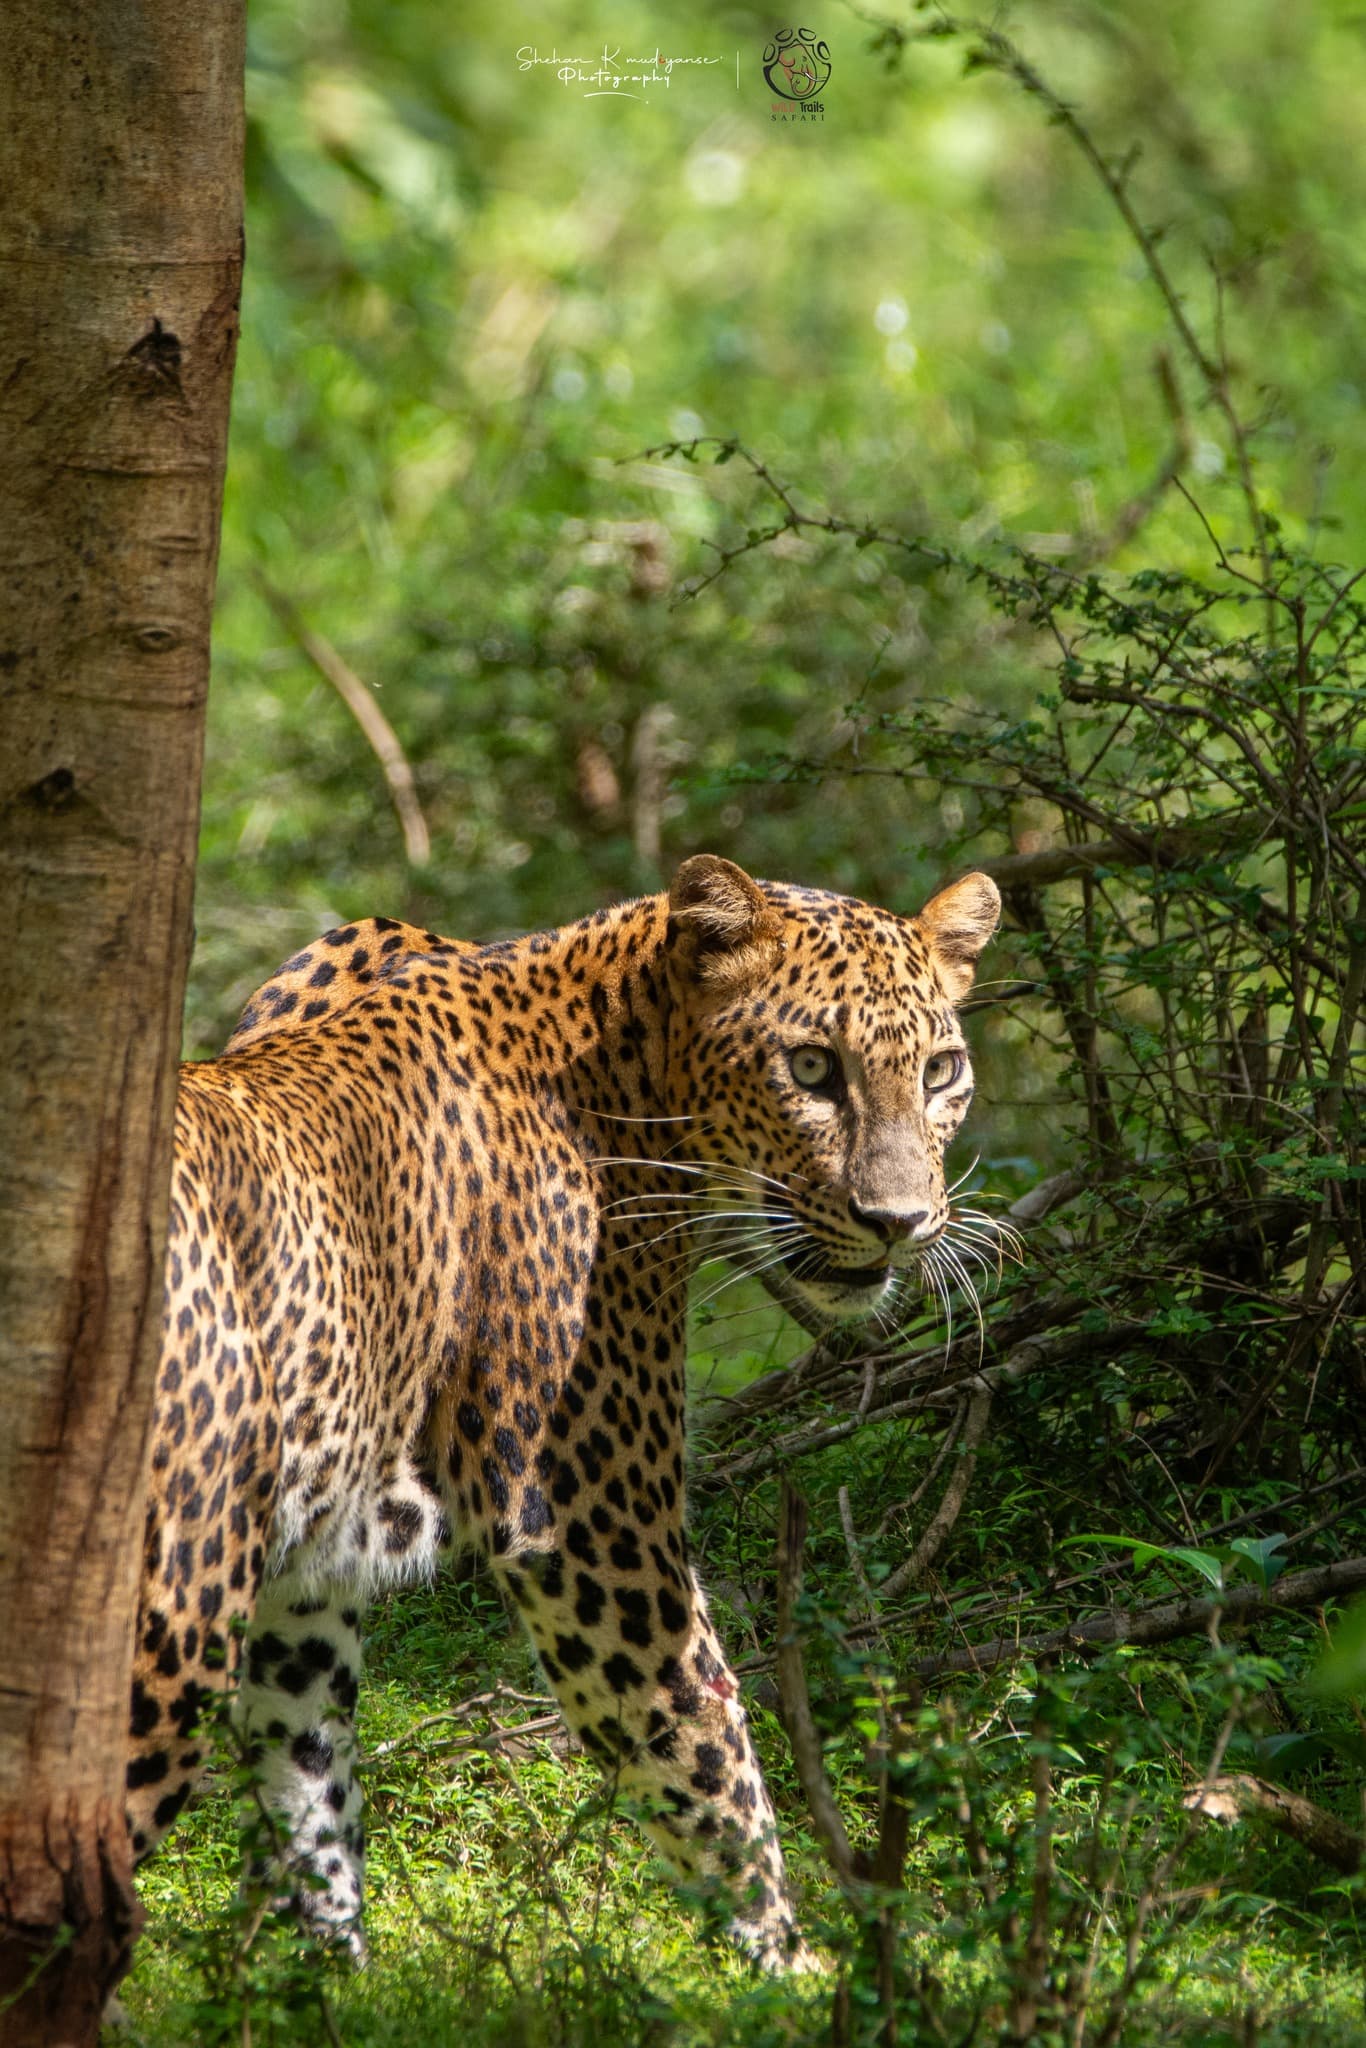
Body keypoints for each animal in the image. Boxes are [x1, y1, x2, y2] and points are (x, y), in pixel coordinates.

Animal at [126, 854, 1000, 1967]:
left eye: (939, 1071)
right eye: (810, 1067)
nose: (900, 1221)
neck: (625, 1064)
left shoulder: (312, 1566)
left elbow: (308, 1780)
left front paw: (320, 1973)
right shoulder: (592, 1524)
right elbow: (704, 1745)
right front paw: (792, 1965)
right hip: (176, 1602)